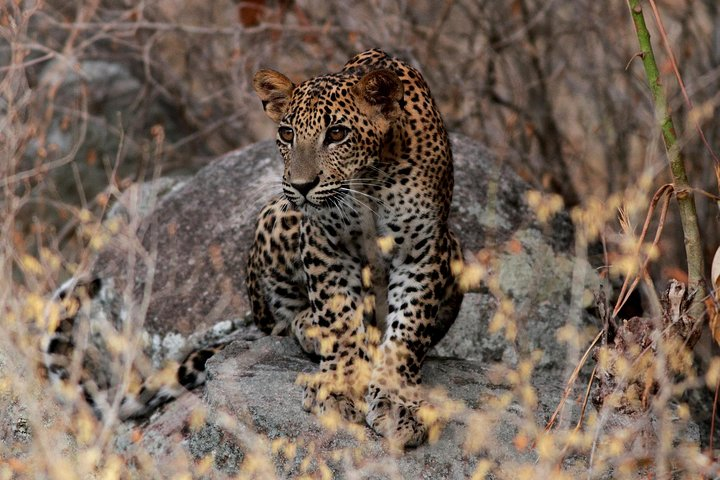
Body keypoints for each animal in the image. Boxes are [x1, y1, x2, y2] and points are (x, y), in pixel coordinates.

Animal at [245, 48, 464, 446]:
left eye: (337, 133)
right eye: (286, 133)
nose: (301, 185)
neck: (370, 179)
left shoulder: (423, 248)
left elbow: (408, 331)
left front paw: (397, 402)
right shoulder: (324, 242)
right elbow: (339, 320)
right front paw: (340, 387)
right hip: (278, 216)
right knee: (282, 318)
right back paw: (310, 329)